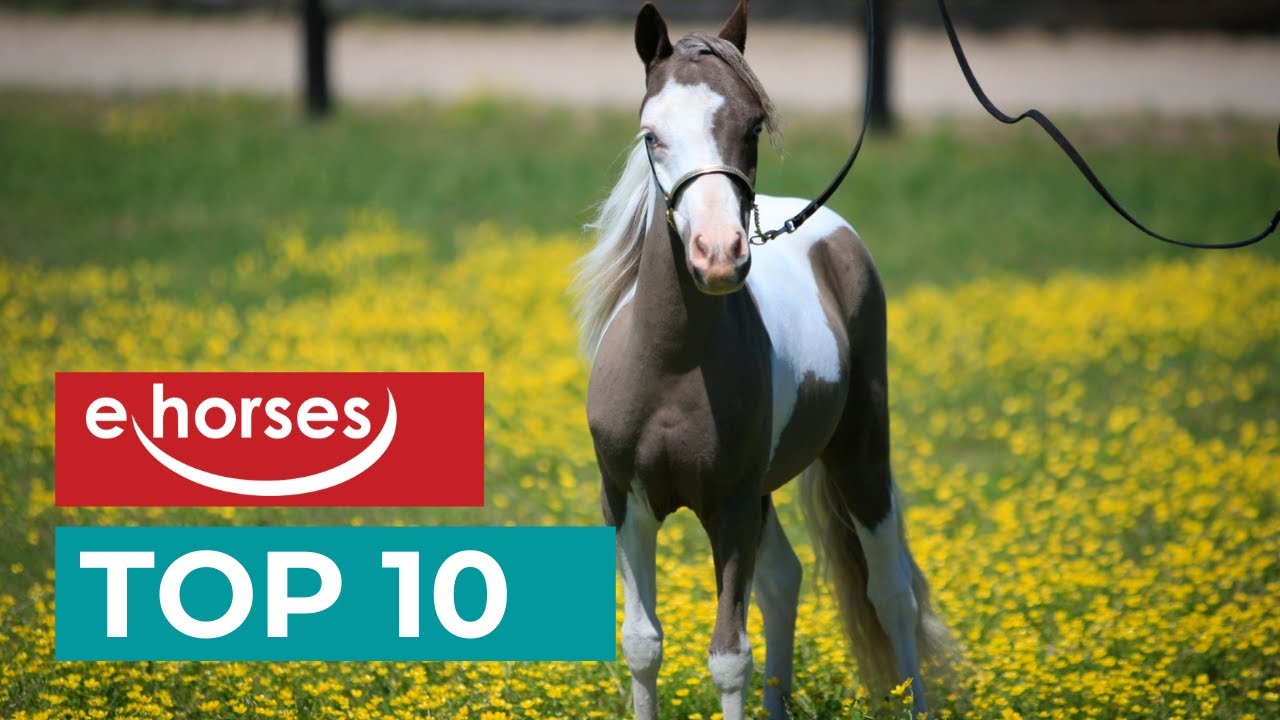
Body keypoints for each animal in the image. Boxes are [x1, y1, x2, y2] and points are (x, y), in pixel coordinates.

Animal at [575, 2, 951, 718]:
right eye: (650, 134)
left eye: (751, 124)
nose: (719, 255)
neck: (671, 368)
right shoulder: (627, 501)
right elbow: (642, 645)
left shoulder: (730, 507)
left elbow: (728, 657)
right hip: (769, 490)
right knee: (785, 578)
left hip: (860, 452)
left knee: (890, 593)